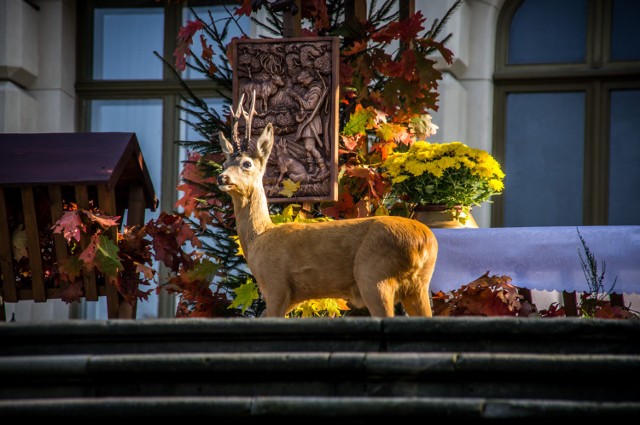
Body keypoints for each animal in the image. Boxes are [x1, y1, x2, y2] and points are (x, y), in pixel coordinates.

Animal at [218, 93, 438, 318]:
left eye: (247, 164)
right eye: (224, 164)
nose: (222, 177)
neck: (259, 237)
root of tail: (424, 242)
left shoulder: (275, 284)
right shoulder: (292, 297)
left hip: (374, 275)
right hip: (418, 284)